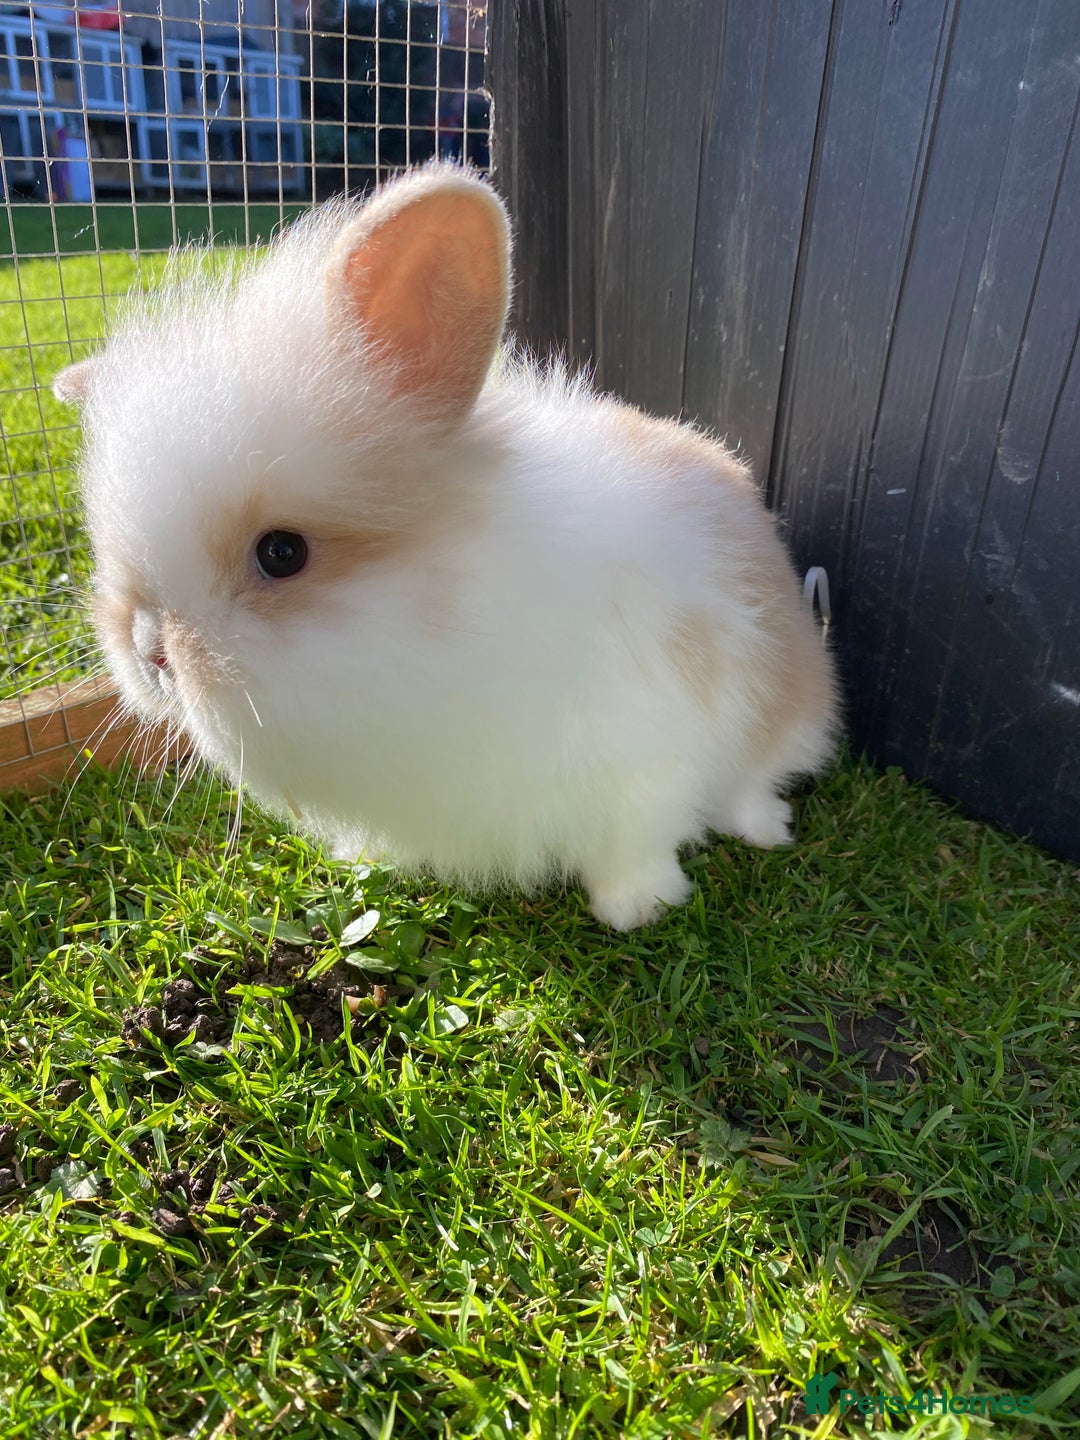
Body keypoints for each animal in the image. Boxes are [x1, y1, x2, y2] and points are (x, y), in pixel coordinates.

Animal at [53, 163, 838, 931]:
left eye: (282, 553)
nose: (151, 653)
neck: (448, 619)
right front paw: (364, 860)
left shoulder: (643, 766)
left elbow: (634, 847)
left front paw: (638, 909)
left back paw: (765, 828)